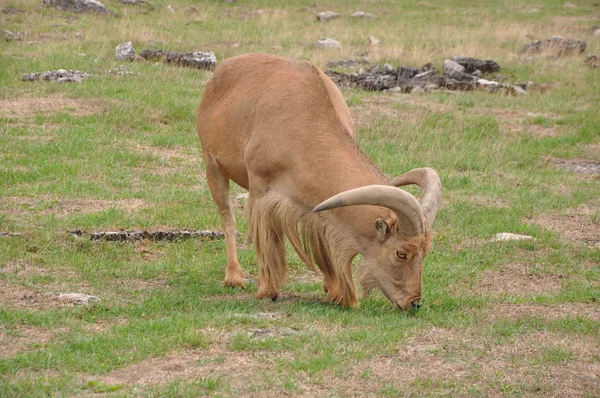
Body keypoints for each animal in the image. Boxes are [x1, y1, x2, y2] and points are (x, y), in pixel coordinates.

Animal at [197, 52, 440, 310]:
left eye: (425, 253)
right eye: (401, 253)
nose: (413, 303)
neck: (304, 126)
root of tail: (223, 68)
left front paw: (334, 291)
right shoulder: (262, 192)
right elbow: (267, 239)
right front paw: (267, 289)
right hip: (212, 164)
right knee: (228, 219)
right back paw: (233, 277)